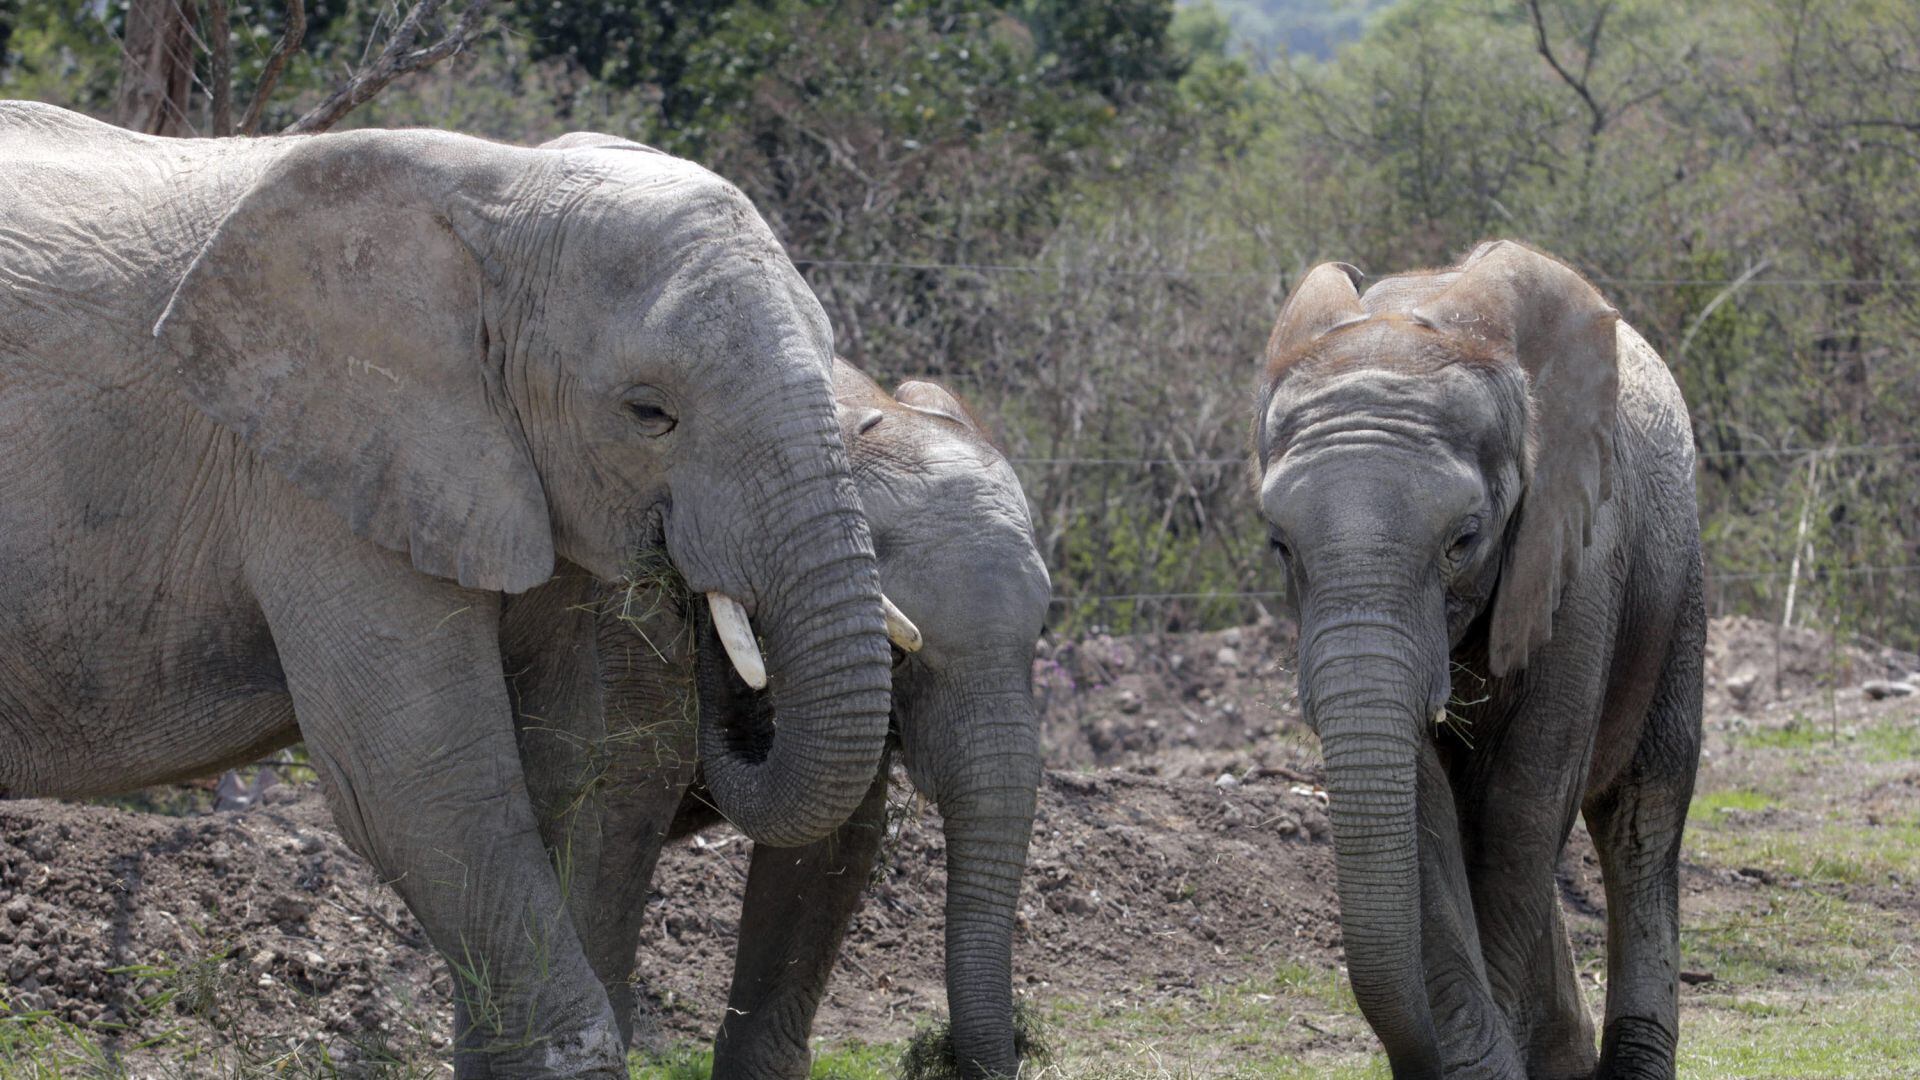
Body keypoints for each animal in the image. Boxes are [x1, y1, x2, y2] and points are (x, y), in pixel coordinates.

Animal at [0, 103, 912, 1077]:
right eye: (649, 413)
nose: (702, 599)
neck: (504, 188)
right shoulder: (320, 466)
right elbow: (421, 774)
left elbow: (590, 763)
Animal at [1252, 241, 1704, 1079]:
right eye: (1279, 545)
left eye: (1463, 539)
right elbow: (1425, 808)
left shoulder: (1582, 552)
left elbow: (1520, 806)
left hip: (1677, 576)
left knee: (1642, 811)